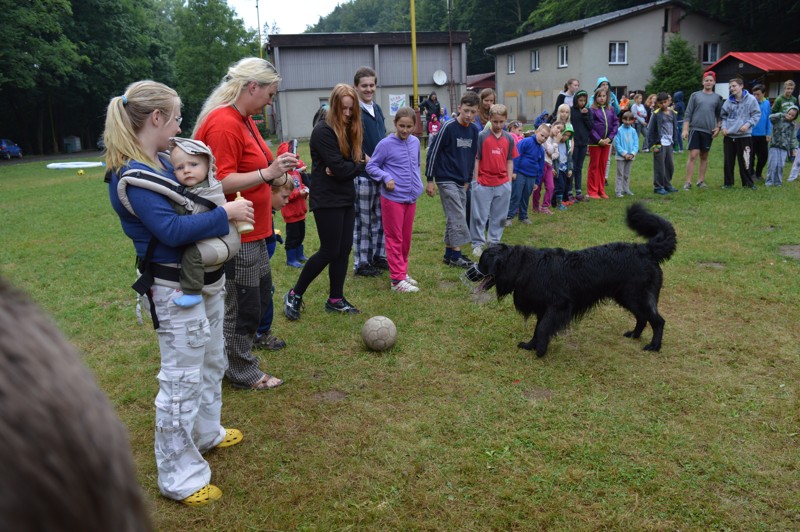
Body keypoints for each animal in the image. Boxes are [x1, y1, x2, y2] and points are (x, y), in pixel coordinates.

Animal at [476, 204, 676, 358]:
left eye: (482, 263)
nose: (472, 273)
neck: (523, 265)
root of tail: (646, 249)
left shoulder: (559, 305)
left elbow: (542, 328)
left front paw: (540, 350)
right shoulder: (544, 308)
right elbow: (538, 328)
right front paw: (531, 345)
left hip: (637, 296)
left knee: (658, 321)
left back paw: (654, 346)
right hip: (626, 296)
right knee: (642, 317)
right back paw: (634, 335)